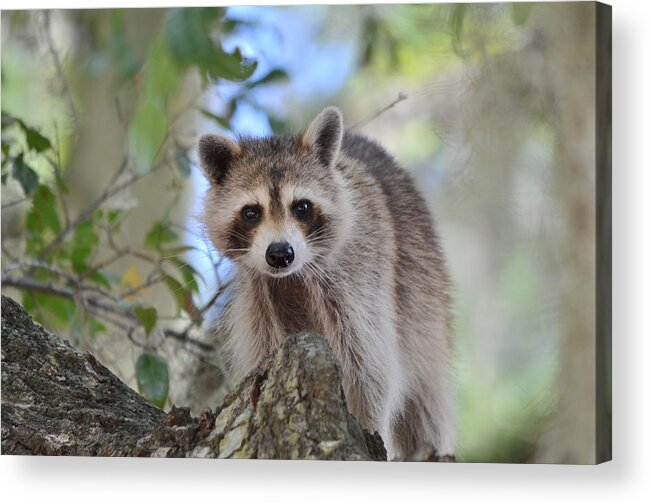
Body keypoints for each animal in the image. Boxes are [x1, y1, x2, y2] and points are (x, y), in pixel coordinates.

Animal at [196, 107, 456, 460]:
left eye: (302, 207)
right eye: (251, 213)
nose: (279, 254)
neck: (293, 278)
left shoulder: (358, 277)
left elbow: (371, 370)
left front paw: (369, 426)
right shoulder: (259, 295)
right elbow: (263, 354)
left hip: (425, 297)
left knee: (426, 404)